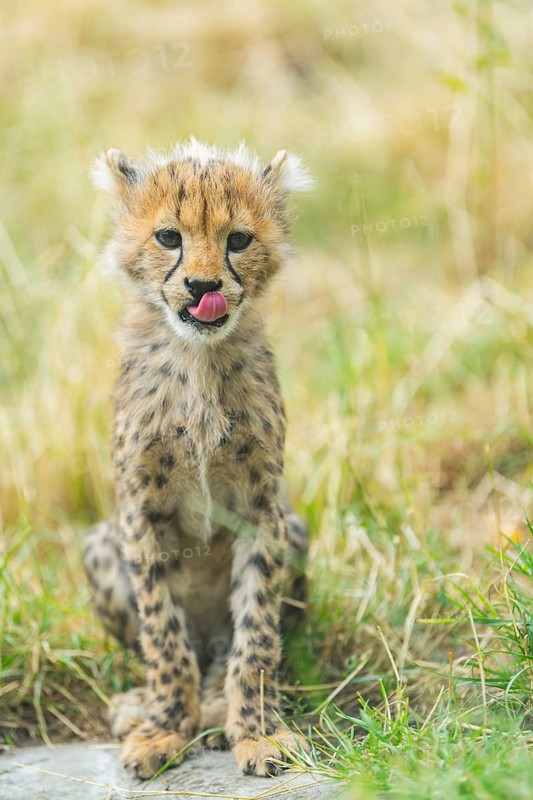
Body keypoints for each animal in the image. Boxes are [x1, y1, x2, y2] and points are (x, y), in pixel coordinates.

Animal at [83, 139, 313, 780]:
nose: (202, 285)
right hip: (100, 544)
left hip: (296, 528)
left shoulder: (263, 509)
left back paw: (214, 704)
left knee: (223, 652)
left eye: (238, 239)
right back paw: (141, 706)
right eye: (168, 237)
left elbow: (256, 632)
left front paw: (259, 732)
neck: (197, 357)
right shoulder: (140, 513)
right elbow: (162, 633)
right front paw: (164, 727)